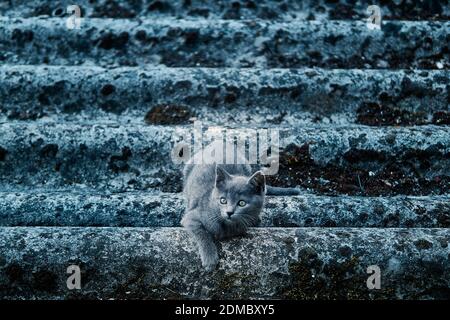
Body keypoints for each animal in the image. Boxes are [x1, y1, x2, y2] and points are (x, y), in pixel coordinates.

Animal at [179, 140, 298, 270]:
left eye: (242, 203)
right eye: (223, 200)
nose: (229, 212)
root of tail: (218, 142)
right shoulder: (191, 217)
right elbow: (202, 233)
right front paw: (210, 260)